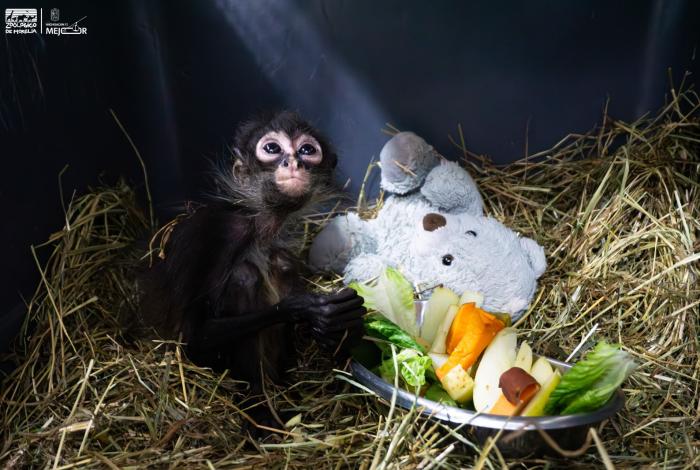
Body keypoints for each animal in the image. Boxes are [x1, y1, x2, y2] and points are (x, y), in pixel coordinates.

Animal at [138, 111, 366, 394]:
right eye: (272, 149)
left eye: (307, 150)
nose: (293, 162)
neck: (257, 225)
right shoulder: (217, 231)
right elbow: (193, 338)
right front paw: (308, 307)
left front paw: (345, 324)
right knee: (245, 274)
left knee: (281, 263)